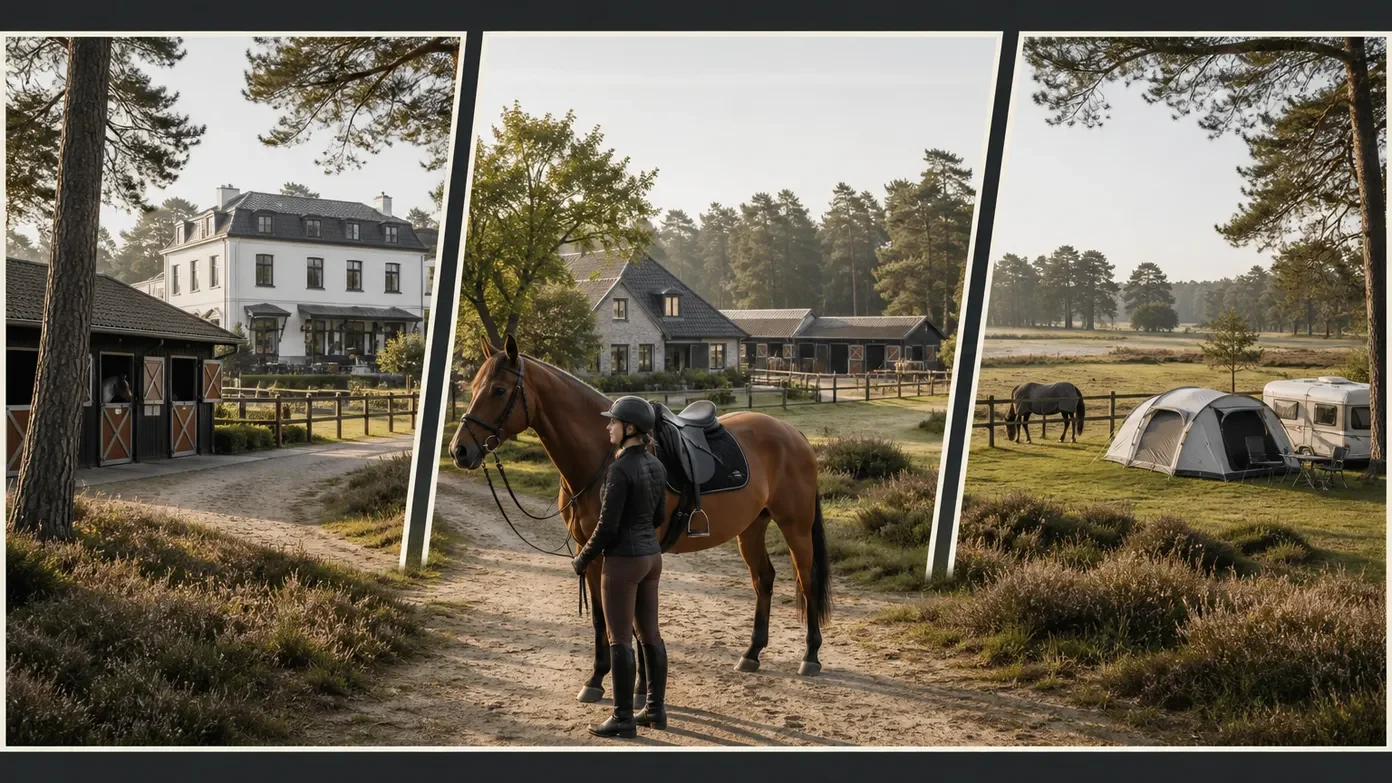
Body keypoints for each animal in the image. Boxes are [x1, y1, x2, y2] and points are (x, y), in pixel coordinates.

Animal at [450, 334, 831, 704]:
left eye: (499, 390)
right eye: (472, 387)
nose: (459, 450)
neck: (605, 458)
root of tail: (793, 434)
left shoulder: (627, 553)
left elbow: (631, 620)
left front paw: (637, 689)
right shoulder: (592, 554)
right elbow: (602, 619)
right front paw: (597, 680)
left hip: (795, 526)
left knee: (807, 579)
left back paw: (810, 657)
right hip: (751, 528)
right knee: (763, 579)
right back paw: (752, 653)